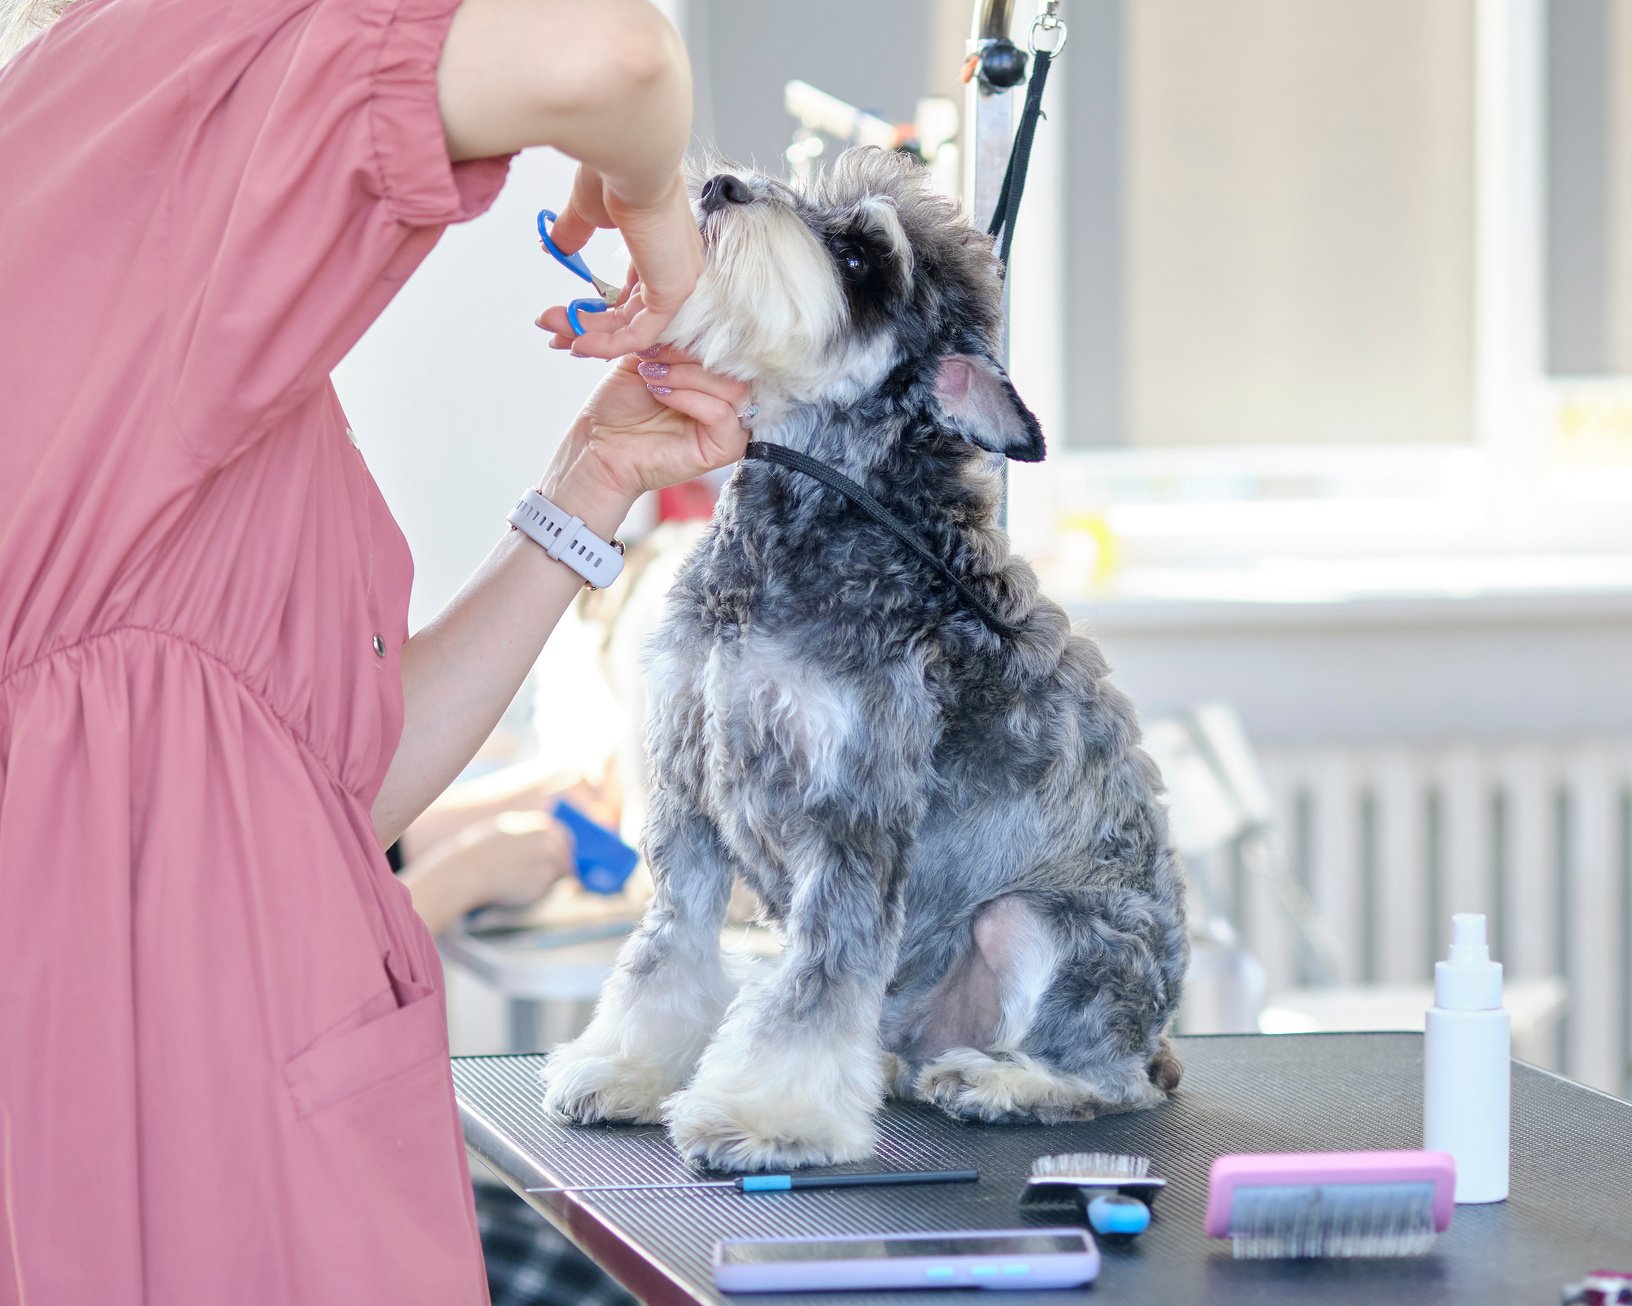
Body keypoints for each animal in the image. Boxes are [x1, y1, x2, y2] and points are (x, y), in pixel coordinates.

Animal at [541, 147, 1194, 1168]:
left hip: (1043, 927)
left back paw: (1000, 1082)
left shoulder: (852, 812)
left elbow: (818, 977)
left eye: (860, 258)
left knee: (1106, 1081)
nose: (721, 186)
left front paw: (766, 1118)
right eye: (812, 200)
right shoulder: (688, 794)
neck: (811, 512)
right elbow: (665, 949)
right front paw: (626, 1066)